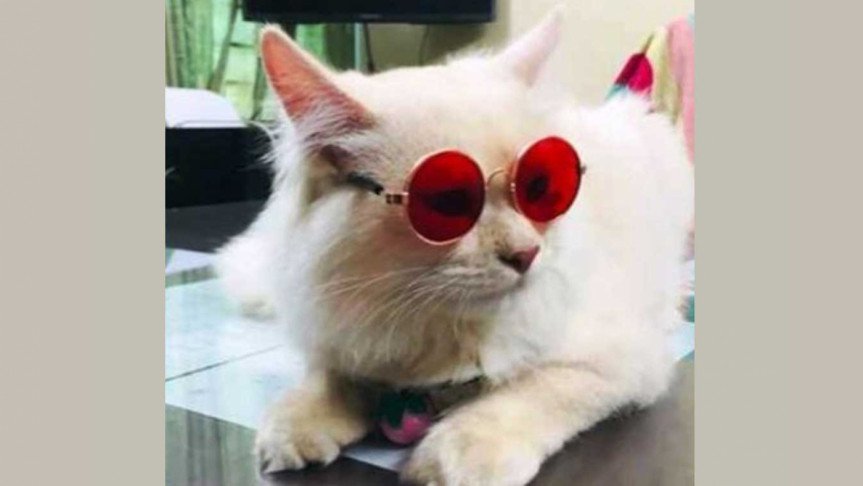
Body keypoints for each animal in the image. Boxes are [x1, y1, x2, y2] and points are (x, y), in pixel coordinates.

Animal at [215, 9, 694, 486]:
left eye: (540, 187)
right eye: (448, 202)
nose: (527, 253)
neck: (437, 332)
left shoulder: (616, 358)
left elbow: (526, 393)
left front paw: (452, 458)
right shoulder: (342, 334)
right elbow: (324, 381)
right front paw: (294, 429)